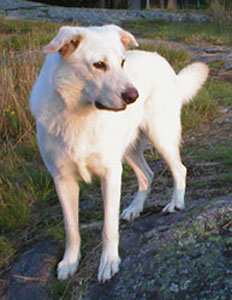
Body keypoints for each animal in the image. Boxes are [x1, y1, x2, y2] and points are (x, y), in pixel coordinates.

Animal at [29, 24, 208, 284]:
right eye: (99, 64)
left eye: (122, 63)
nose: (134, 96)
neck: (79, 113)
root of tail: (160, 59)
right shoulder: (62, 180)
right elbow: (71, 229)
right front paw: (70, 262)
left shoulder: (111, 174)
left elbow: (108, 228)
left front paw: (109, 263)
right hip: (129, 151)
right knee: (147, 175)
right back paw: (135, 207)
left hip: (160, 135)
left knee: (179, 169)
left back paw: (176, 202)